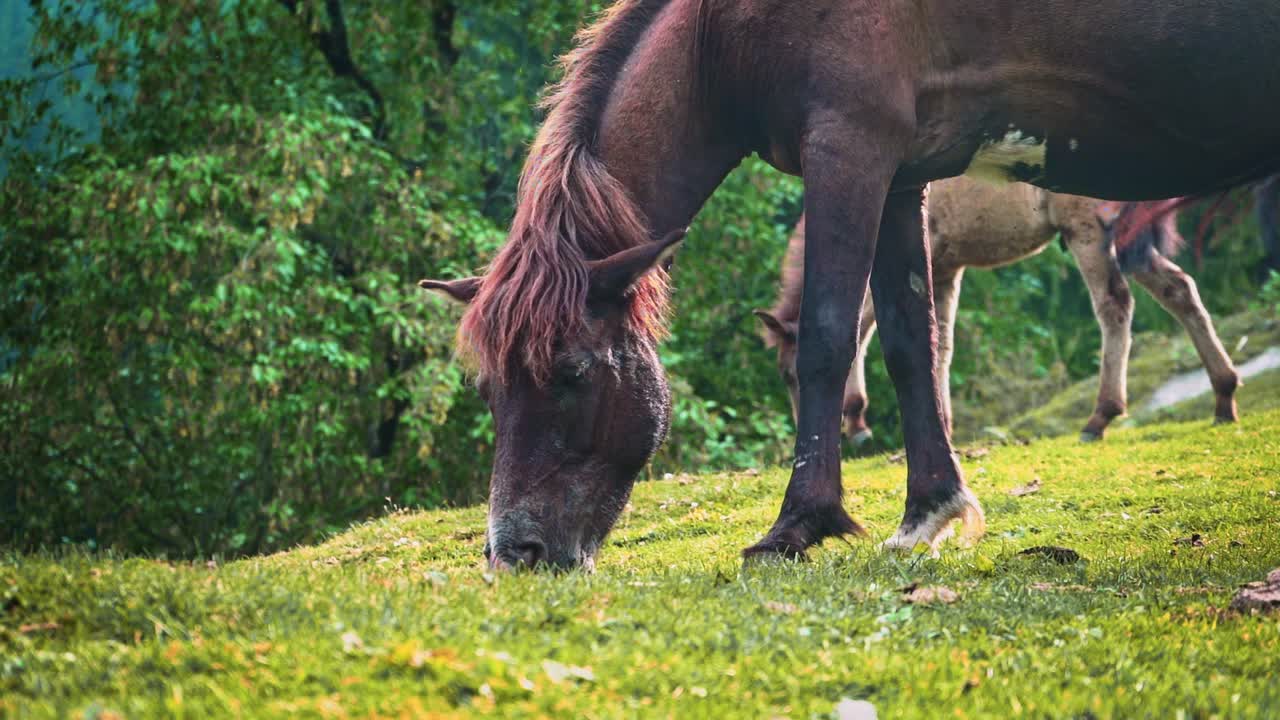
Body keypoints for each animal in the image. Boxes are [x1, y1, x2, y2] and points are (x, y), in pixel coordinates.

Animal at [755, 176, 1240, 448]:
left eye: (791, 375)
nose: (806, 437)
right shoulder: (945, 267)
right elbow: (939, 342)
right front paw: (940, 424)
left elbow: (864, 328)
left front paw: (857, 419)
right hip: (1129, 238)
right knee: (1179, 290)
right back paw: (1223, 396)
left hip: (1087, 231)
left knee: (1114, 306)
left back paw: (1100, 415)